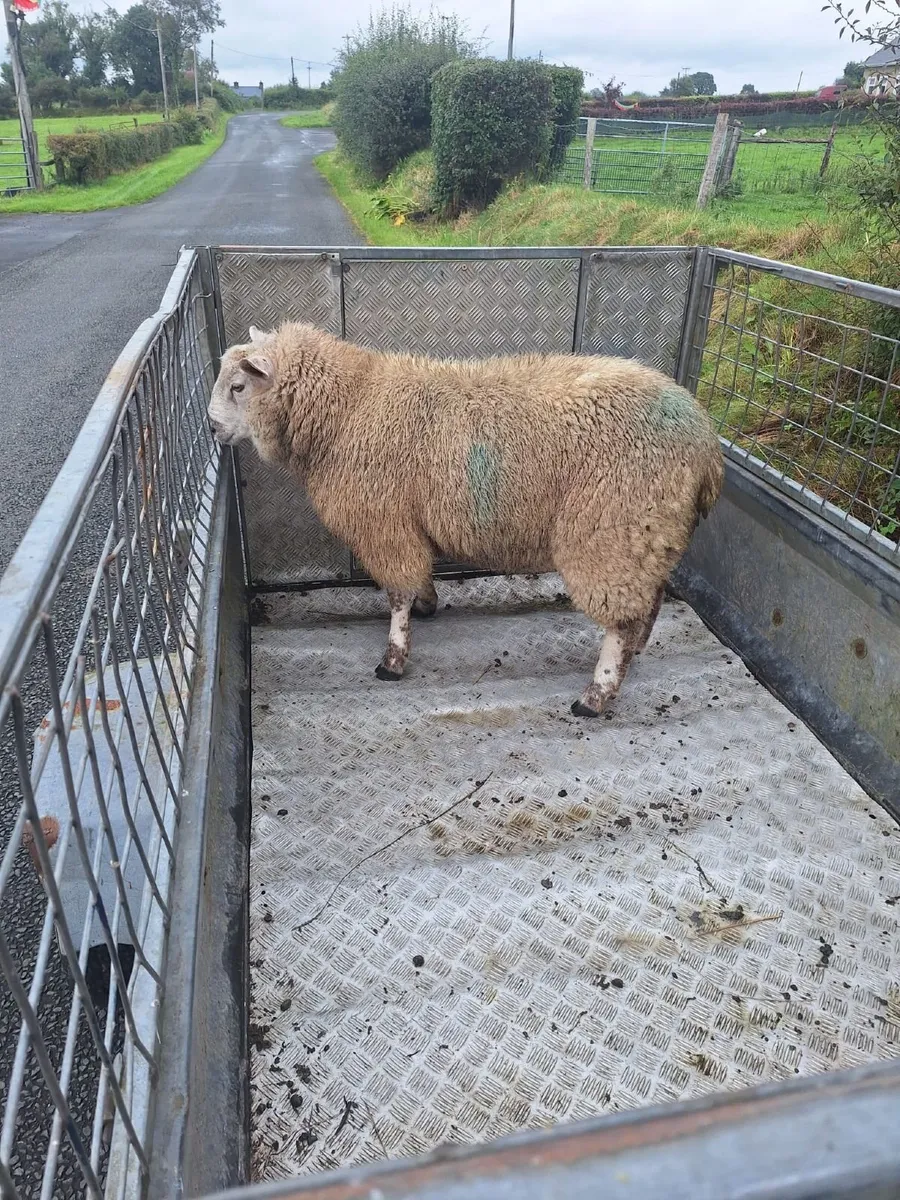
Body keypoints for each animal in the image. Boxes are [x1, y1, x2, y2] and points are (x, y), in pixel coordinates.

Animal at [208, 322, 724, 717]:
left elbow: (396, 594)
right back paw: (636, 654)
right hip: (650, 533)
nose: (211, 427)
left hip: (613, 528)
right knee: (649, 602)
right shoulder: (405, 523)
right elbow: (417, 576)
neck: (350, 407)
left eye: (238, 386)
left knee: (620, 622)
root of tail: (706, 445)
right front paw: (427, 603)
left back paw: (597, 694)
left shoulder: (384, 522)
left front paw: (393, 658)